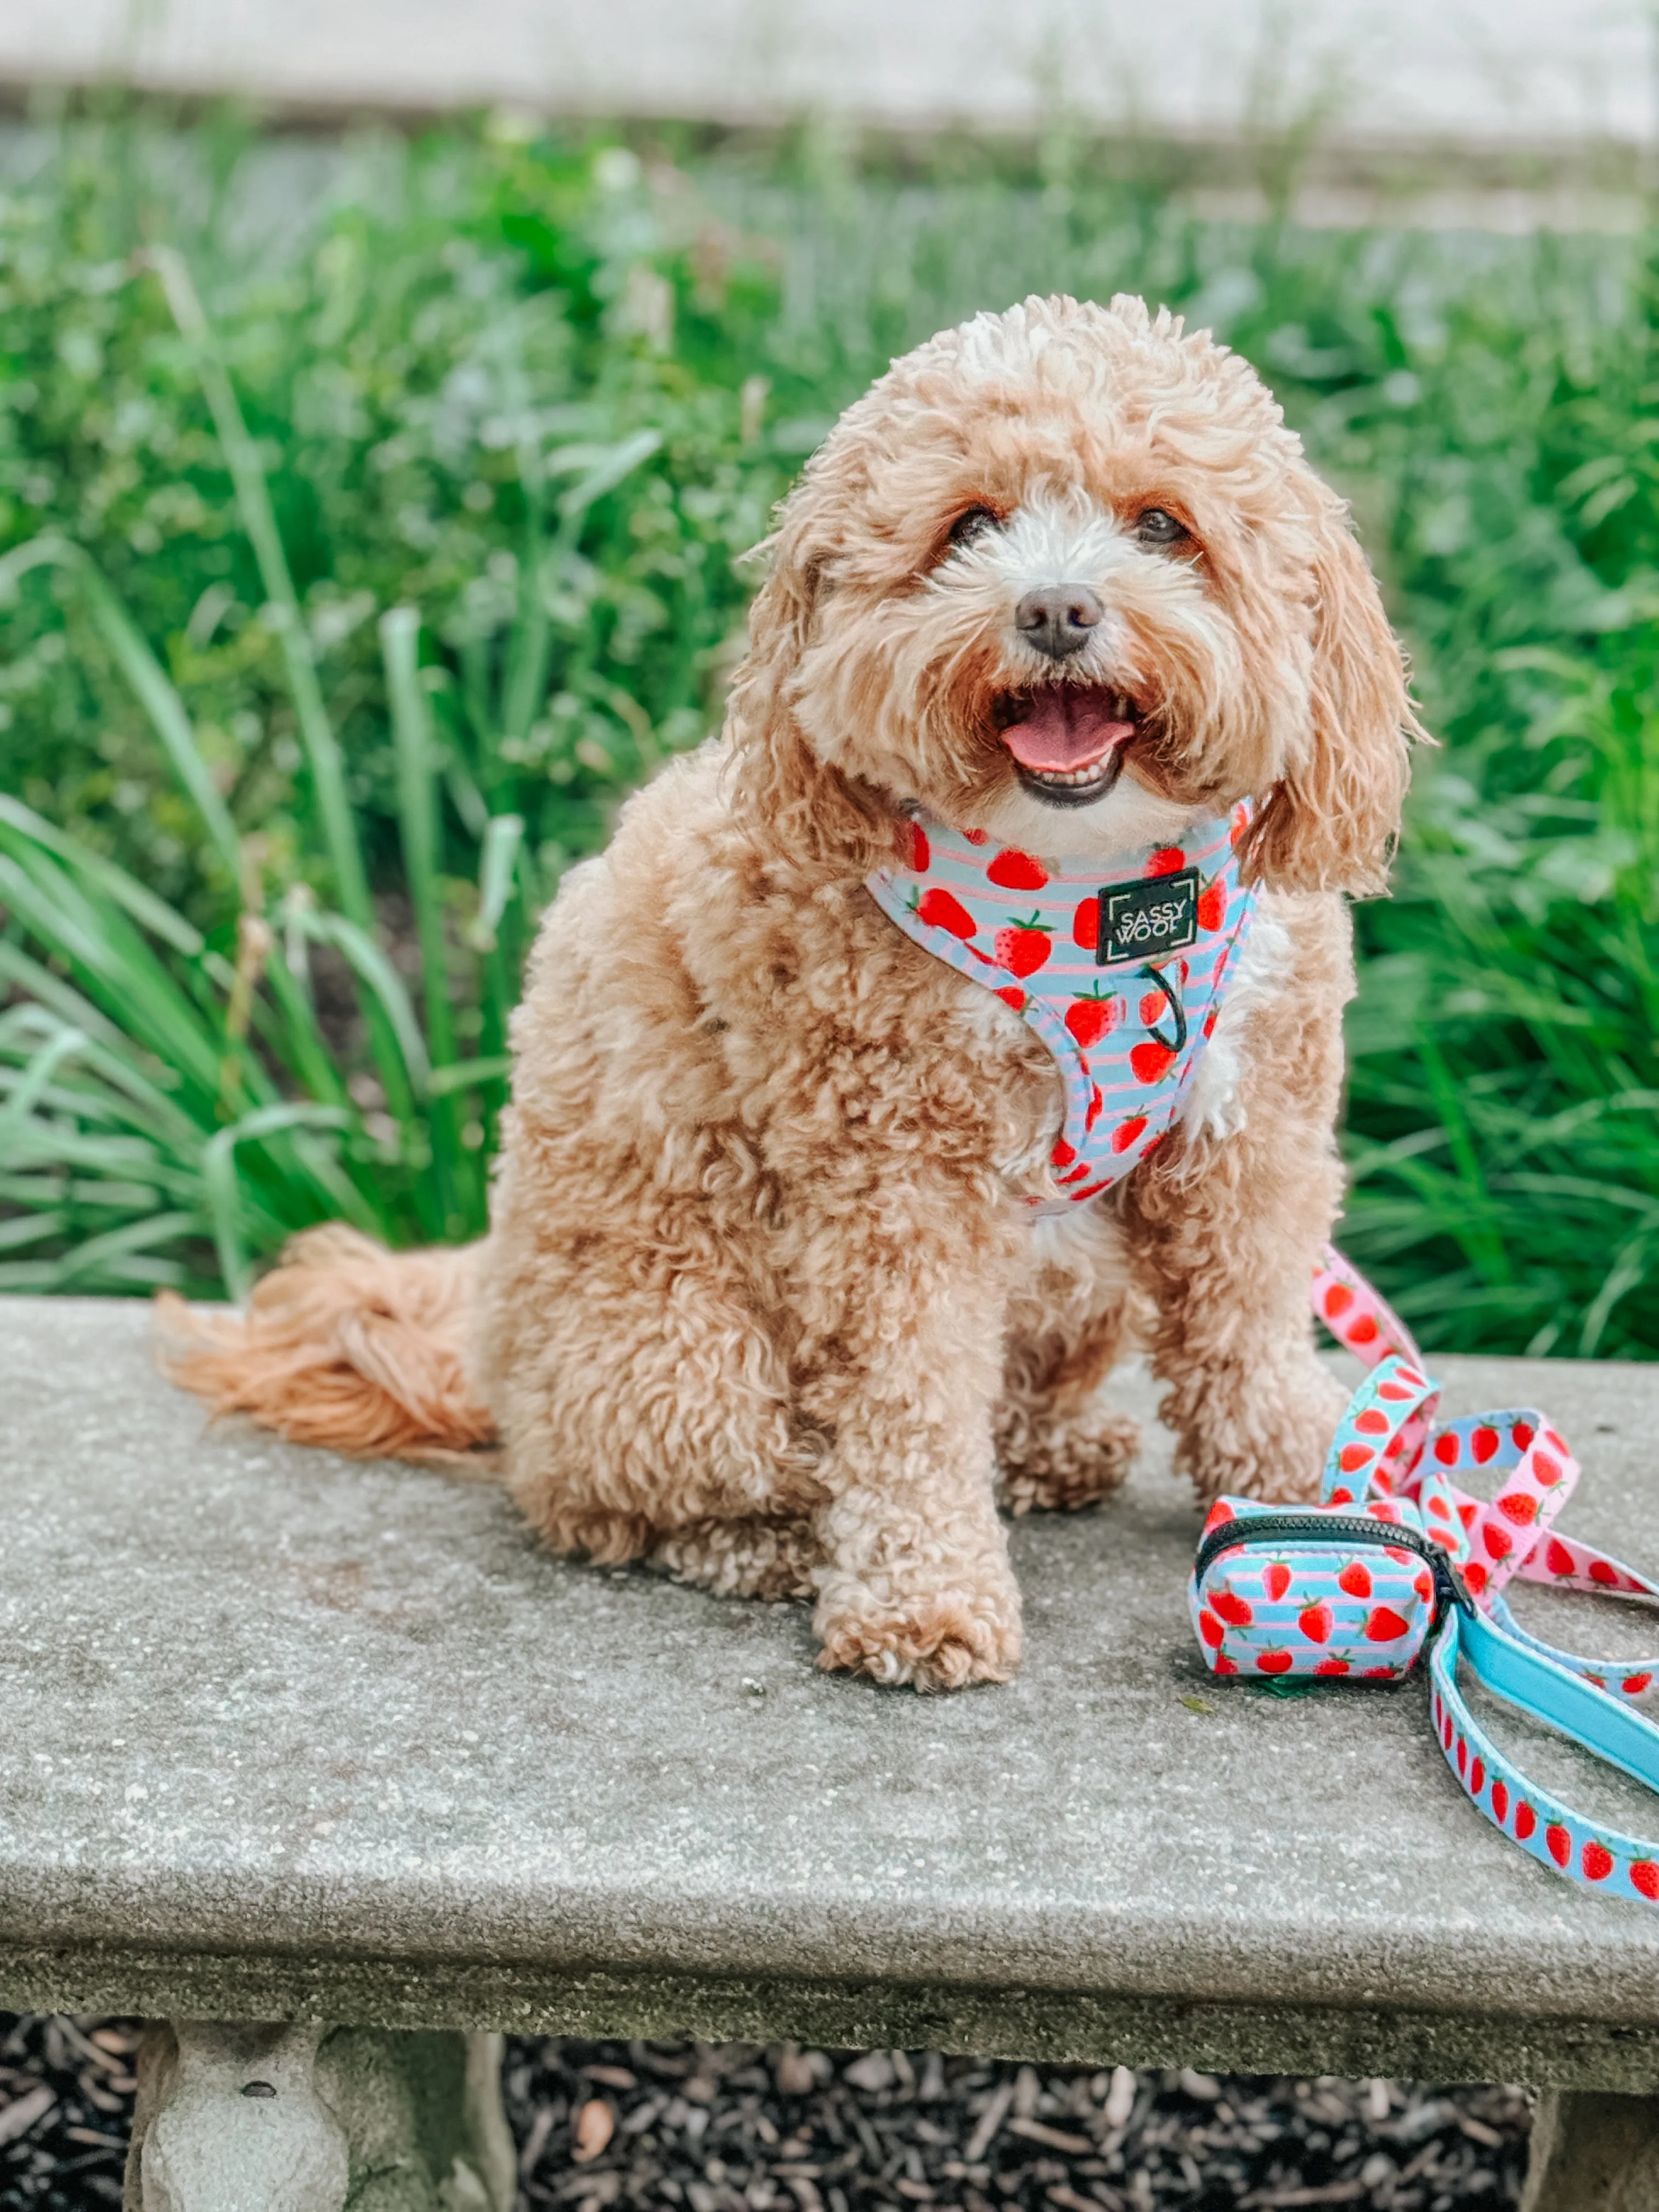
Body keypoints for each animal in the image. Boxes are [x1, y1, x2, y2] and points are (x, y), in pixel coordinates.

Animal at [166, 294, 1415, 1690]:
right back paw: (771, 1544)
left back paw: (1052, 1451)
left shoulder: (1249, 1137)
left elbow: (1248, 1331)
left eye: (1161, 524)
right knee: (622, 1503)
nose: (1056, 610)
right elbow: (908, 1407)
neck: (1094, 892)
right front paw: (922, 1601)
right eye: (969, 526)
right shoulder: (892, 1190)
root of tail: (485, 1348)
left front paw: (1317, 1487)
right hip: (680, 1357)